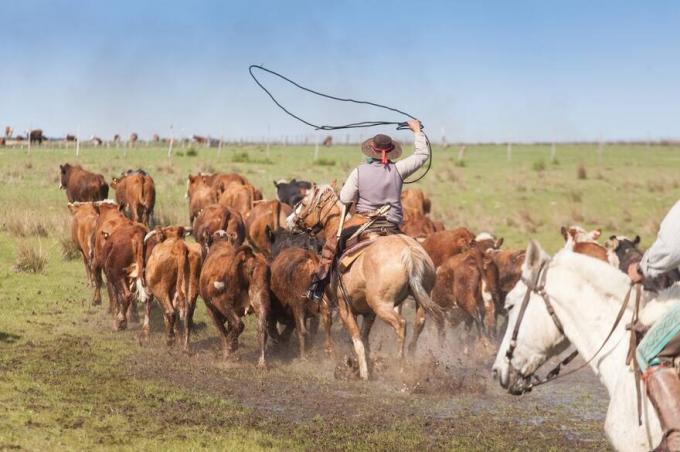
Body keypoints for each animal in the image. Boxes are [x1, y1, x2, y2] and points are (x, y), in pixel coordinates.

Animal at [198, 237, 270, 368]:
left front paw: (228, 351)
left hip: (222, 303)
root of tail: (247, 257)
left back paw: (231, 347)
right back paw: (262, 363)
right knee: (262, 329)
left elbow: (222, 331)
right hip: (260, 301)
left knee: (238, 324)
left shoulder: (211, 310)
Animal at [290, 184, 444, 378]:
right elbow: (364, 337)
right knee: (420, 323)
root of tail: (409, 254)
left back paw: (400, 364)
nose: (290, 221)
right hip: (421, 297)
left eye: (304, 203)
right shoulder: (368, 313)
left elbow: (355, 339)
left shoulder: (344, 309)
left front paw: (362, 371)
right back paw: (413, 356)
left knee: (401, 324)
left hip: (382, 304)